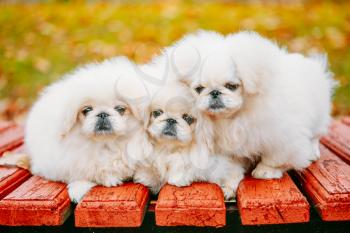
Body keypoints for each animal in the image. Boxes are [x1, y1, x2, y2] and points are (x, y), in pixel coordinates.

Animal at [0, 57, 148, 202]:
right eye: (86, 110)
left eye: (120, 109)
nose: (102, 114)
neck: (106, 145)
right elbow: (80, 175)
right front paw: (79, 189)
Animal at [159, 31, 336, 179]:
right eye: (199, 89)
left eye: (231, 86)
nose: (215, 92)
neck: (234, 117)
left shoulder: (281, 136)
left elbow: (275, 158)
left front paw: (266, 171)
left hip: (319, 116)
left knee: (316, 136)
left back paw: (313, 152)